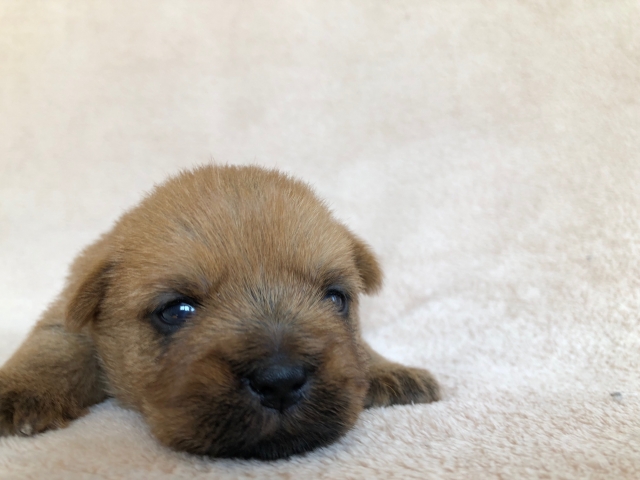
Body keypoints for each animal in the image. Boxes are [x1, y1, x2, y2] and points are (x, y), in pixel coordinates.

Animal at [0, 165, 440, 459]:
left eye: (335, 299)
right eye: (177, 310)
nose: (280, 382)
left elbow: (359, 348)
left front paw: (389, 371)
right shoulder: (67, 316)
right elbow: (54, 348)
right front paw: (20, 390)